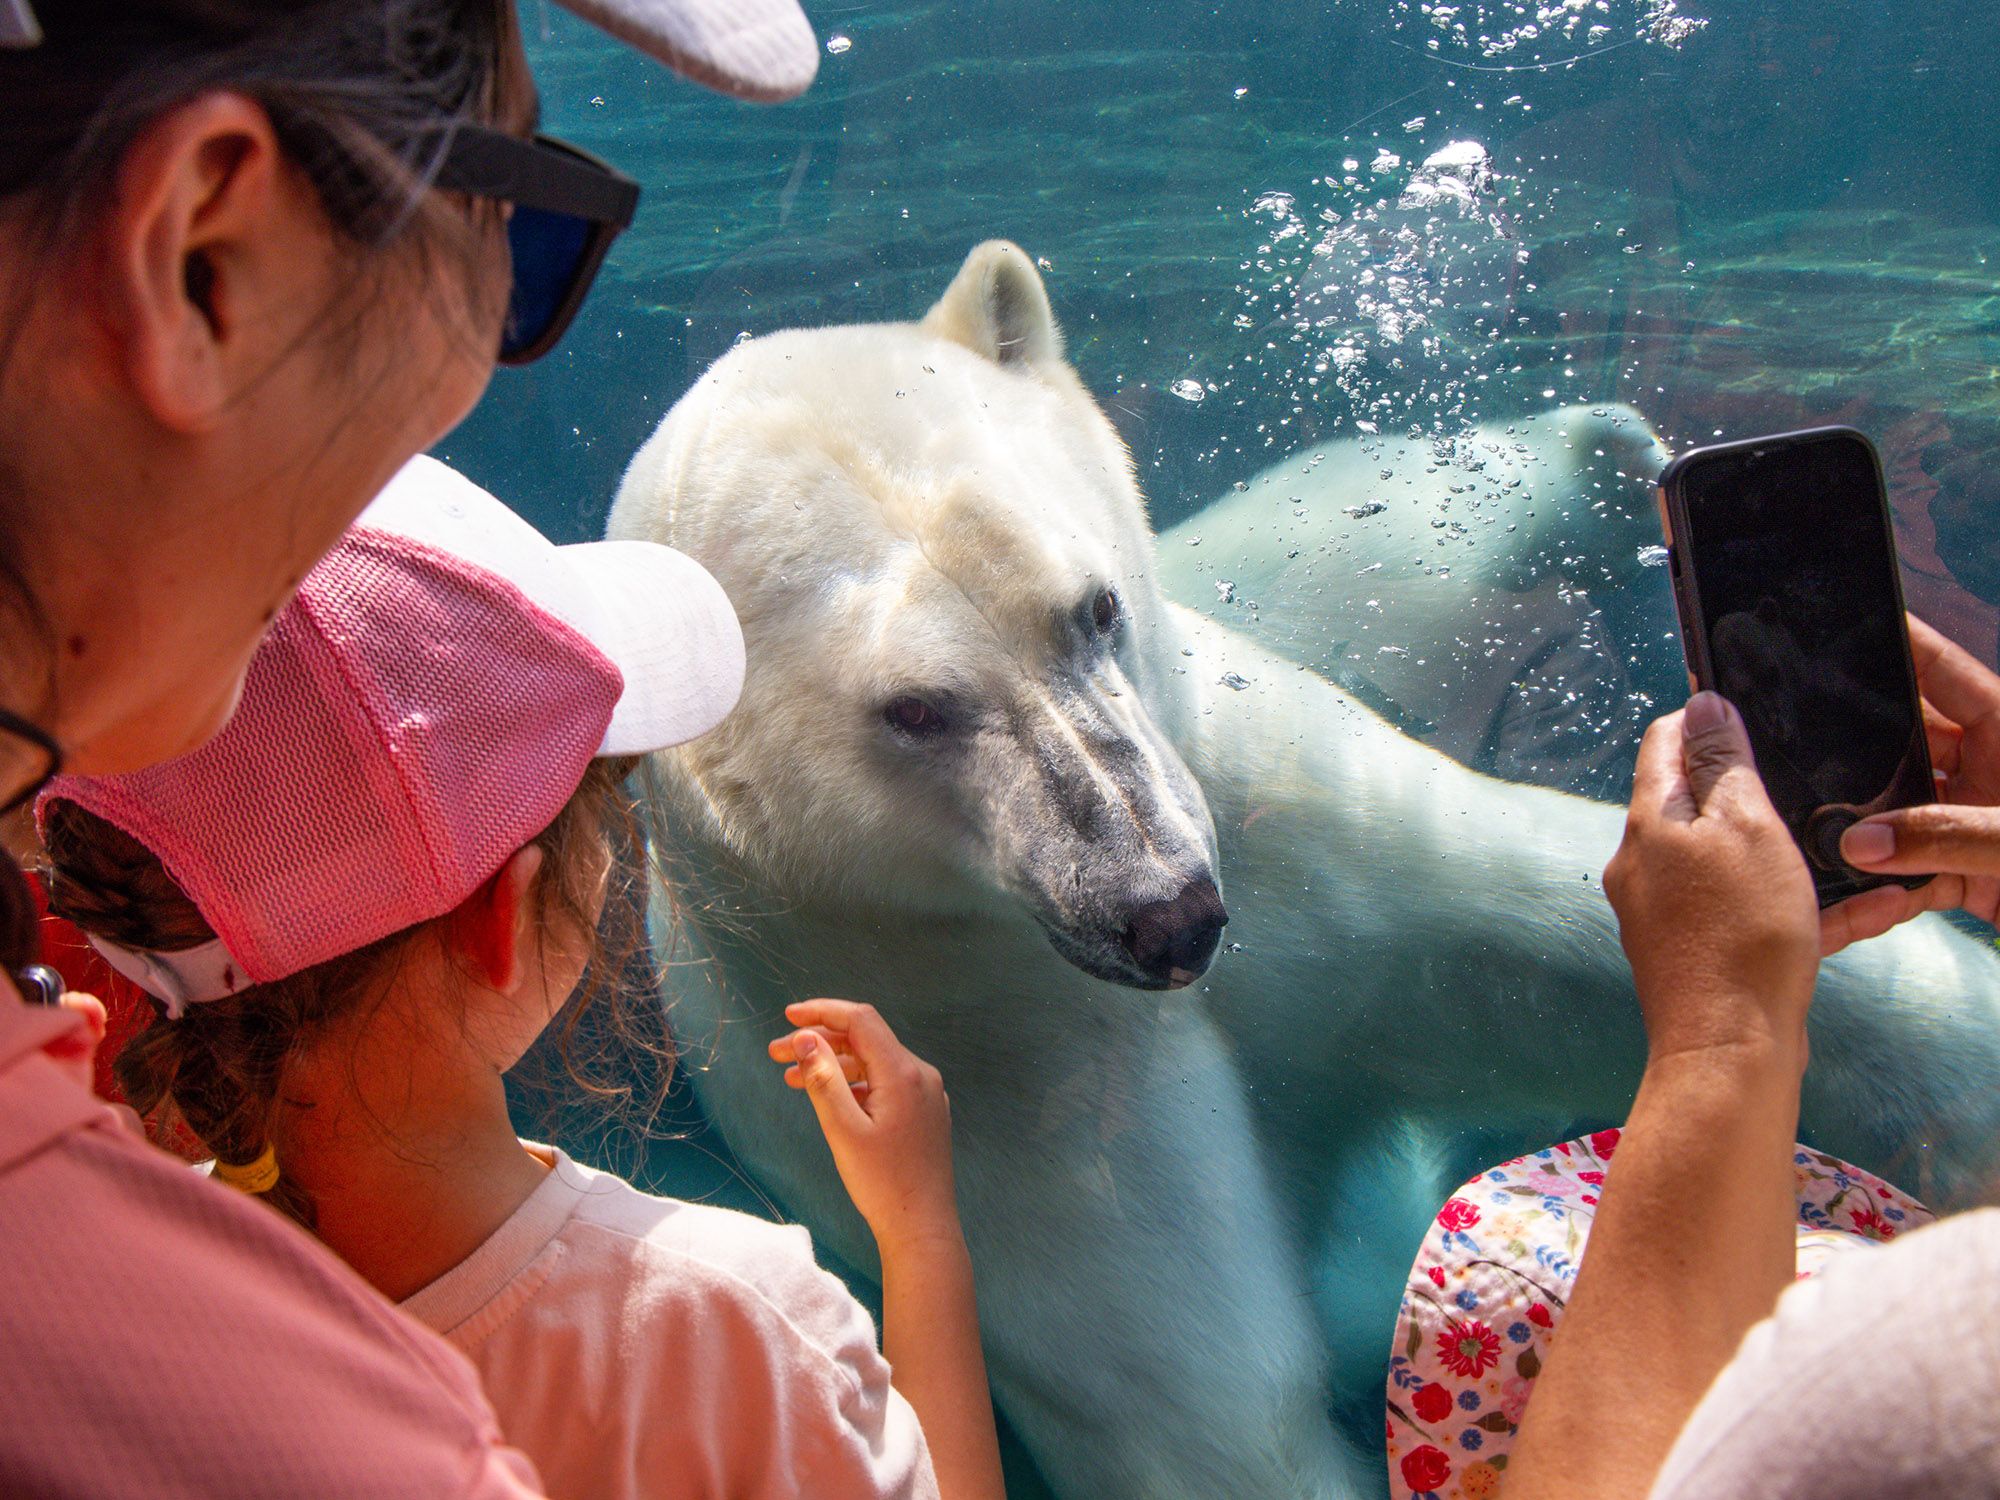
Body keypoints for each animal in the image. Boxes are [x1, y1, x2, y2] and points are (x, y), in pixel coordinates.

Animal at [608, 240, 2000, 1500]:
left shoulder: (1280, 823)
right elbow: (1208, 1410)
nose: (1169, 914)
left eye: (1091, 608)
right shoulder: (1003, 1080)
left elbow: (1528, 941)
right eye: (912, 711)